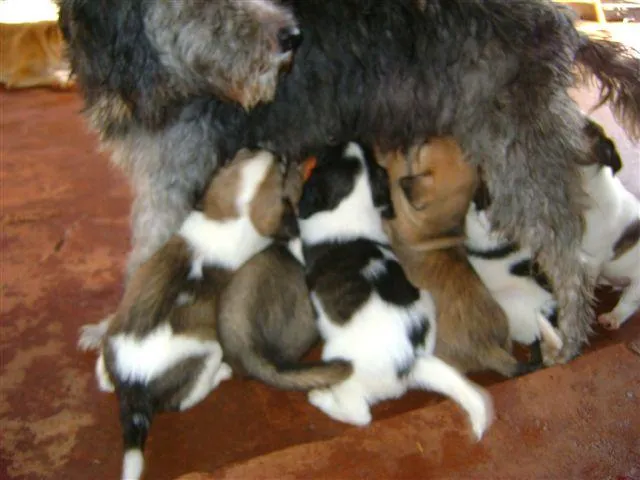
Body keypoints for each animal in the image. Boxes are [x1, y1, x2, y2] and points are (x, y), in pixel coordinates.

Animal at [298, 143, 492, 442]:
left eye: (329, 157)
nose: (350, 142)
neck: (353, 206)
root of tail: (412, 362)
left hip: (338, 361)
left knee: (359, 415)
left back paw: (322, 399)